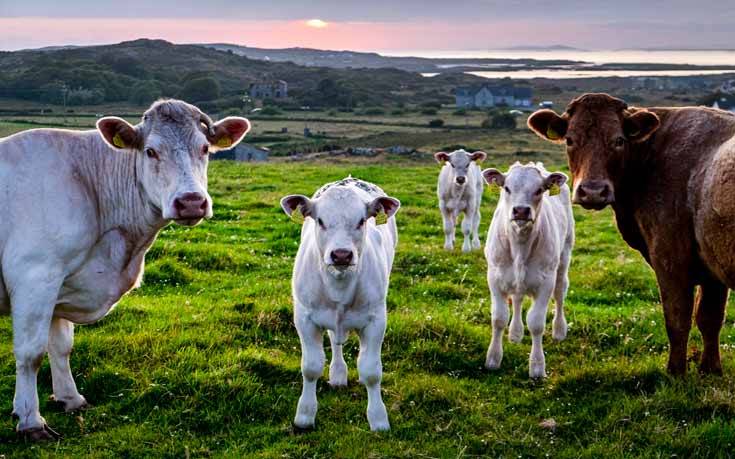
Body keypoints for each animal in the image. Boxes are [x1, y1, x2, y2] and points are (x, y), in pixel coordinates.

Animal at [0, 99, 250, 438]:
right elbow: (31, 353)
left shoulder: (60, 283)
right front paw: (30, 420)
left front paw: (70, 398)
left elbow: (61, 346)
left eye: (205, 149)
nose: (191, 202)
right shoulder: (36, 275)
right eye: (151, 151)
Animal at [280, 178, 402, 434]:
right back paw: (337, 374)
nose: (342, 255)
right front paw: (305, 415)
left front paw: (378, 418)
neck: (339, 286)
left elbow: (371, 371)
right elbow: (311, 367)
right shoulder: (304, 318)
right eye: (320, 220)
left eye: (361, 220)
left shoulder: (376, 320)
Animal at [484, 164, 576, 380]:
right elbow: (499, 318)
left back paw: (559, 330)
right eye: (507, 188)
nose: (521, 210)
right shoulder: (494, 278)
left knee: (560, 294)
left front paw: (537, 367)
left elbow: (536, 323)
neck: (520, 244)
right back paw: (515, 333)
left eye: (540, 189)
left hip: (564, 257)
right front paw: (493, 359)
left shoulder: (546, 282)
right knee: (517, 299)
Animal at [528, 93, 735, 378]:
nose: (593, 191)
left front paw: (676, 373)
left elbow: (677, 319)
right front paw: (711, 370)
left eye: (619, 140)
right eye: (569, 139)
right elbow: (709, 318)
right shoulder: (711, 265)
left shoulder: (670, 257)